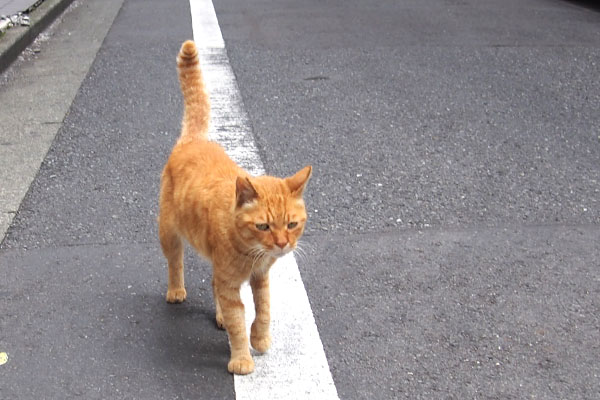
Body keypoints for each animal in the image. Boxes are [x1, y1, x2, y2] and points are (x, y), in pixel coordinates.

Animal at [157, 40, 312, 376]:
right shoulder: (231, 284)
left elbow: (263, 311)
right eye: (263, 226)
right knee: (175, 262)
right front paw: (241, 358)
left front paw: (260, 338)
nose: (282, 244)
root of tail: (193, 139)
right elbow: (238, 321)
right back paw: (176, 291)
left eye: (292, 225)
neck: (252, 254)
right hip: (168, 233)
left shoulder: (261, 278)